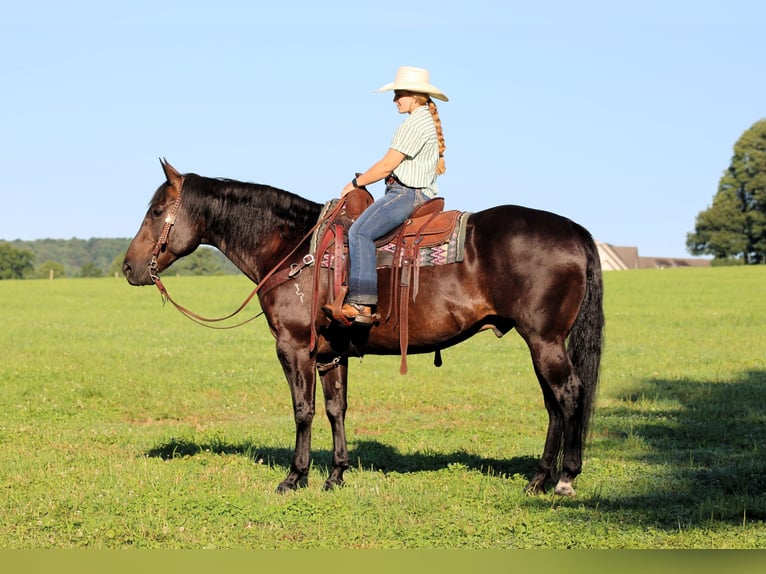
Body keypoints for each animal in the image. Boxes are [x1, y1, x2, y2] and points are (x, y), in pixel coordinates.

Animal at [123, 159, 604, 496]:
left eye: (157, 210)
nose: (128, 267)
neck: (294, 249)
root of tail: (575, 231)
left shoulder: (293, 348)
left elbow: (303, 410)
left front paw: (295, 477)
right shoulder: (330, 352)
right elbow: (336, 408)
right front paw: (335, 475)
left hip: (544, 340)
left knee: (567, 395)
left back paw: (563, 479)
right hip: (541, 342)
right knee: (554, 404)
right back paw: (538, 479)